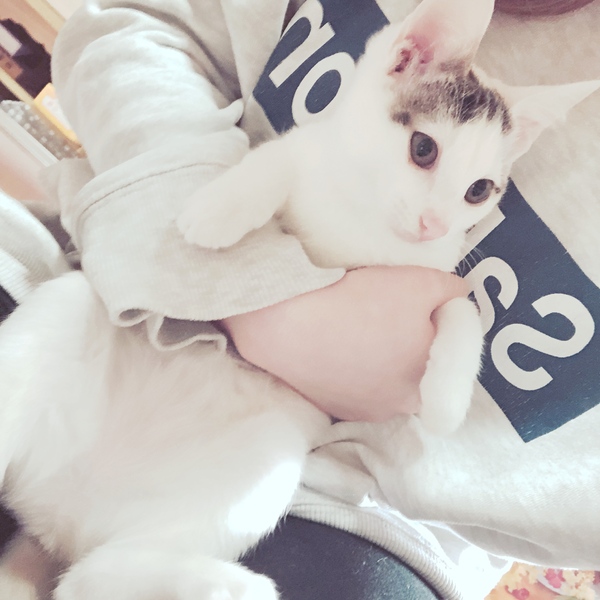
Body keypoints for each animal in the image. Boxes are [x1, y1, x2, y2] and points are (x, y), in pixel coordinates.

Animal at [1, 0, 598, 599]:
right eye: (423, 149)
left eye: (479, 191)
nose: (434, 224)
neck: (363, 220)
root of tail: (57, 519)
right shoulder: (308, 159)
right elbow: (277, 157)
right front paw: (221, 209)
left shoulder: (436, 272)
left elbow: (465, 309)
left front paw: (446, 398)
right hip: (59, 317)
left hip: (260, 474)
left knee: (93, 575)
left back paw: (241, 585)